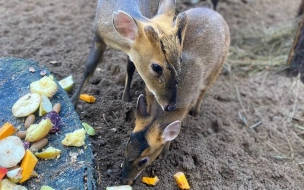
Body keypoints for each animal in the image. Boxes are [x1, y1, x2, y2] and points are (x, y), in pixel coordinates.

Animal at [120, 7, 229, 186]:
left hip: (217, 68)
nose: (124, 180)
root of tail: (215, 13)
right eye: (126, 148)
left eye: (143, 161)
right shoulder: (149, 93)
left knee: (204, 91)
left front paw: (164, 156)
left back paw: (196, 112)